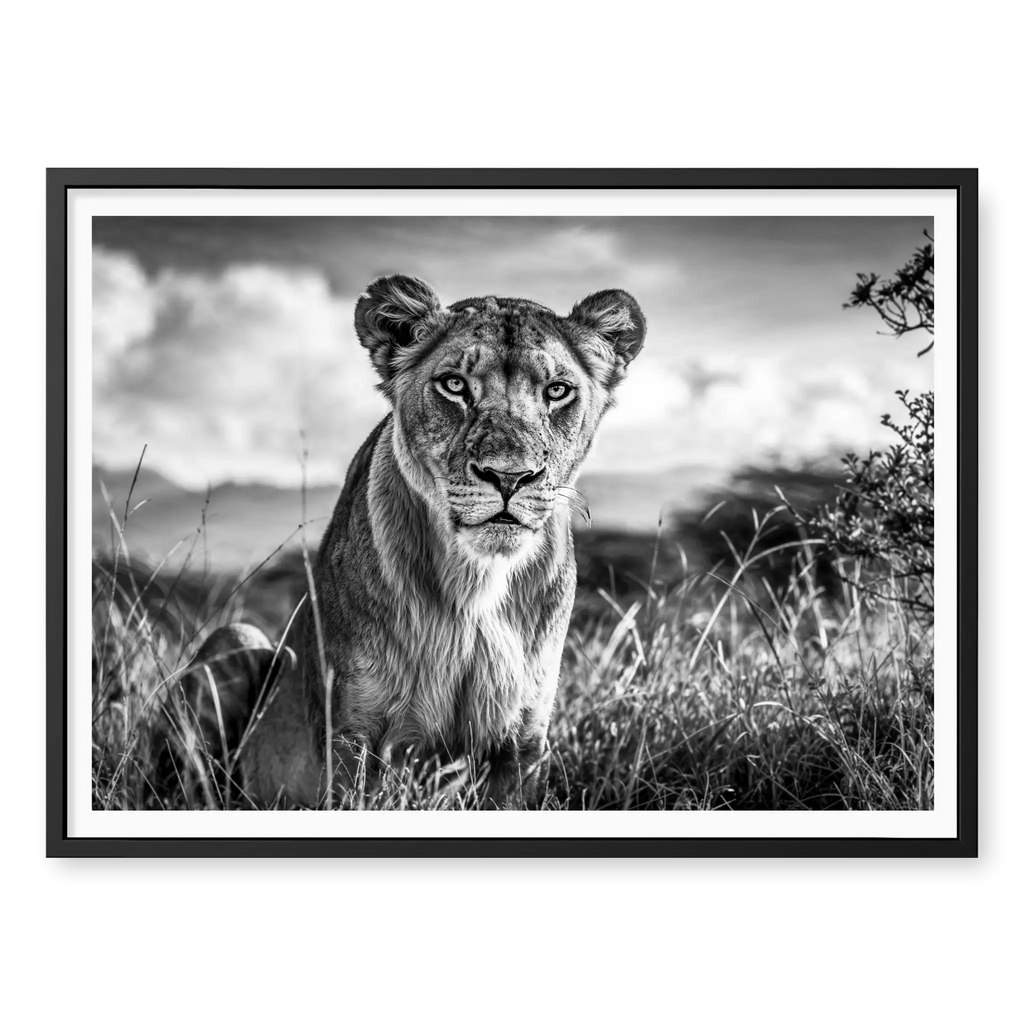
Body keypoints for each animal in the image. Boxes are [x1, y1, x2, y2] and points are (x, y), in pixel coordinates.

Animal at [181, 274, 646, 808]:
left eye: (557, 391)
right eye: (454, 384)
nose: (510, 477)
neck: (476, 585)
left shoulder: (523, 742)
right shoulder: (351, 738)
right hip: (236, 637)